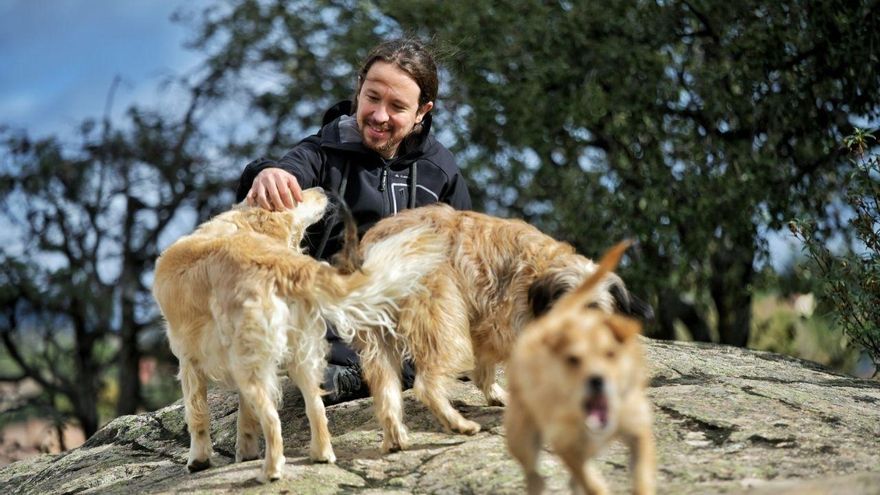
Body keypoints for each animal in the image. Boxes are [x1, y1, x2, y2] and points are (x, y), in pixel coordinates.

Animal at [150, 188, 446, 482]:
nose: (323, 190)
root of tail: (278, 263)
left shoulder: (189, 359)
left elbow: (197, 413)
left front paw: (198, 460)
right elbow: (245, 415)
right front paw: (245, 452)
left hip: (251, 364)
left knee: (272, 419)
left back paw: (271, 471)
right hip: (300, 354)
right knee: (315, 406)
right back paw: (321, 454)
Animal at [344, 204, 652, 454]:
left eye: (595, 310)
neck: (542, 269)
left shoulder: (486, 329)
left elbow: (485, 370)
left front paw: (497, 395)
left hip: (380, 340)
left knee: (387, 393)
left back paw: (396, 438)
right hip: (444, 325)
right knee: (426, 384)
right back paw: (458, 424)